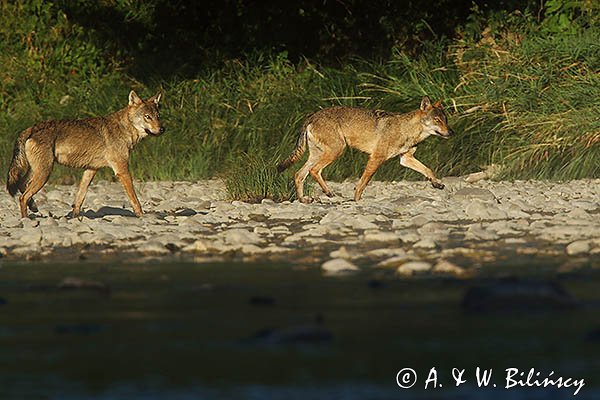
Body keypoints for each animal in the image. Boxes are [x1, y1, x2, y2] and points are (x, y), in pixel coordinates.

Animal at [6, 90, 164, 219]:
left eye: (158, 116)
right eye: (147, 117)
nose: (162, 129)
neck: (125, 129)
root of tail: (31, 128)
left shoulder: (91, 170)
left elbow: (80, 197)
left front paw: (75, 217)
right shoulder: (122, 170)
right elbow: (134, 198)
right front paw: (142, 215)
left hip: (38, 171)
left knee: (22, 185)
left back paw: (33, 207)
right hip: (44, 173)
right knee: (22, 197)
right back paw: (26, 219)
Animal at [278, 96, 452, 203]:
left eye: (445, 120)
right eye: (437, 120)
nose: (451, 132)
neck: (407, 130)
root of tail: (311, 116)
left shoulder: (405, 159)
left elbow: (428, 170)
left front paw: (437, 184)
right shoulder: (376, 158)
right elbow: (362, 183)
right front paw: (356, 201)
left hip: (319, 154)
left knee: (299, 174)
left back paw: (303, 200)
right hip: (337, 150)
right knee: (314, 170)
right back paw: (328, 193)